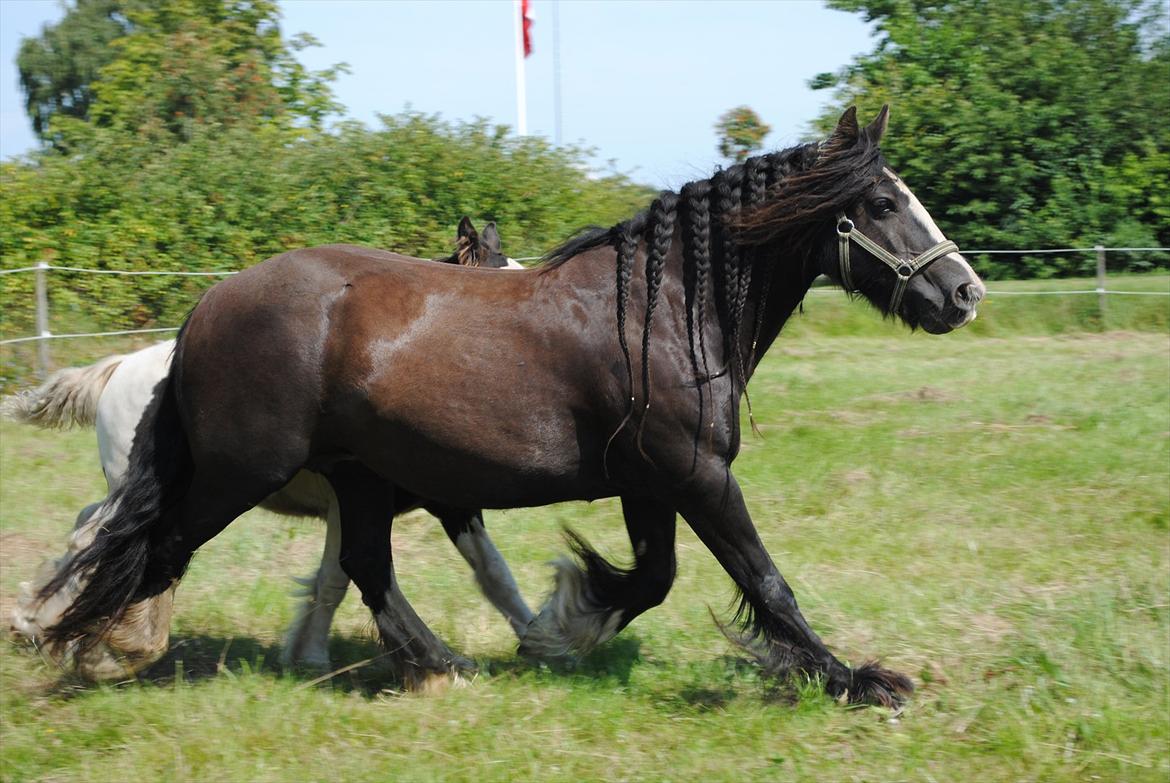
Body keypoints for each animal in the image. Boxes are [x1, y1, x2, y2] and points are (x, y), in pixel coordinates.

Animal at [36, 105, 982, 702]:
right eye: (881, 203)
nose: (964, 293)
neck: (664, 310)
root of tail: (203, 311)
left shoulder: (651, 482)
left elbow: (652, 577)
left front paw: (558, 629)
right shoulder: (696, 473)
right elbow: (764, 578)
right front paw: (858, 679)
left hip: (356, 477)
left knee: (361, 565)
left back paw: (437, 664)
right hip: (240, 474)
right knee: (146, 543)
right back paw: (104, 648)